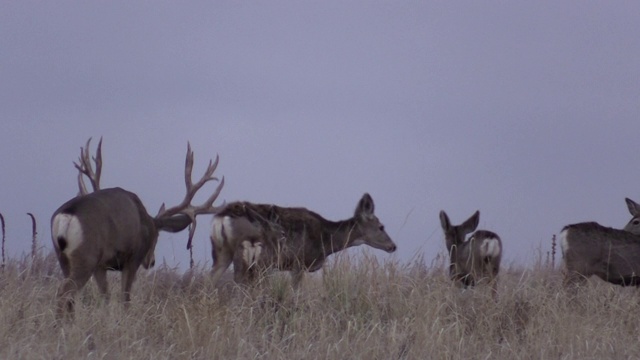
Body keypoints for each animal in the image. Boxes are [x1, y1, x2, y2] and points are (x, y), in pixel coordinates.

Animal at [48, 138, 222, 318]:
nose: (151, 261)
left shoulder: (101, 266)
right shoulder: (133, 258)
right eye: (157, 237)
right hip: (86, 256)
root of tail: (66, 215)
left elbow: (105, 297)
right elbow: (125, 298)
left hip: (64, 258)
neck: (147, 222)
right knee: (64, 293)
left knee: (70, 298)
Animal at [210, 193, 398, 288]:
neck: (325, 240)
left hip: (222, 252)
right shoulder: (298, 263)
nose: (393, 246)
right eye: (381, 226)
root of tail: (222, 216)